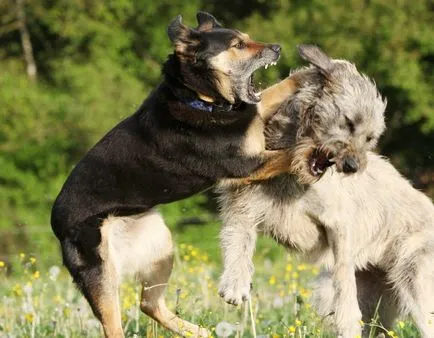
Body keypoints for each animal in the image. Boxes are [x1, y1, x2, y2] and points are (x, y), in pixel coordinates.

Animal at [50, 11, 294, 338]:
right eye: (238, 45)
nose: (278, 48)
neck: (200, 99)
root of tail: (56, 221)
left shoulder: (251, 122)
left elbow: (276, 91)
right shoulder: (244, 165)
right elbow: (289, 154)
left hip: (159, 245)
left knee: (148, 304)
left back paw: (199, 331)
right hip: (99, 272)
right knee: (115, 324)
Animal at [217, 45, 434, 338]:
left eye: (370, 137)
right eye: (349, 122)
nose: (353, 167)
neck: (291, 171)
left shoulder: (338, 225)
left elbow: (343, 276)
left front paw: (347, 321)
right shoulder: (243, 203)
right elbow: (238, 238)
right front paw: (235, 282)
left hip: (415, 281)